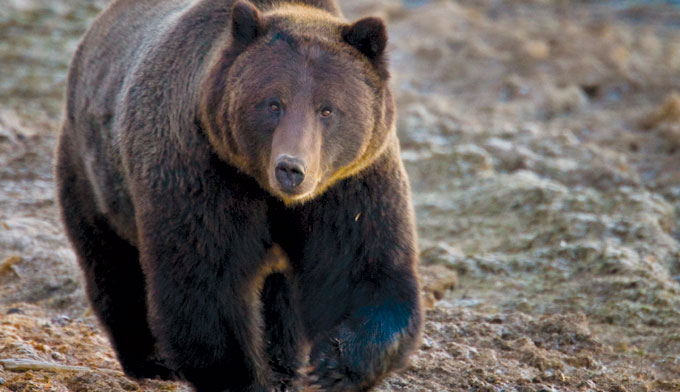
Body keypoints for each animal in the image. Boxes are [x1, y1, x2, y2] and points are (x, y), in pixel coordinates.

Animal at [55, 0, 422, 392]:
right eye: (273, 103)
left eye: (327, 108)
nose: (291, 169)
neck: (271, 195)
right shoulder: (204, 175)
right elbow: (206, 285)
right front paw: (243, 377)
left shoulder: (349, 185)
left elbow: (362, 270)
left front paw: (333, 366)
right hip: (94, 177)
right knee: (114, 266)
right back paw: (151, 360)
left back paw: (283, 364)